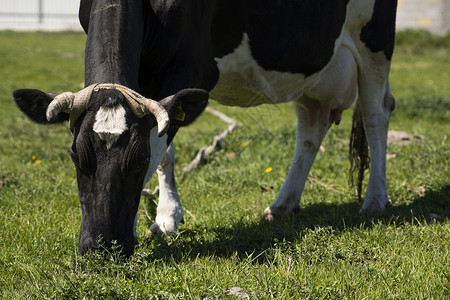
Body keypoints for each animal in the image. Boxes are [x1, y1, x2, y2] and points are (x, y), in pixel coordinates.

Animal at [12, 0, 396, 256]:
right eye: (76, 157)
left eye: (138, 160)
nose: (101, 246)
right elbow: (165, 148)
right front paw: (165, 216)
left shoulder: (192, 67)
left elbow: (161, 142)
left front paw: (158, 220)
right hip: (310, 64)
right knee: (312, 126)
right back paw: (282, 204)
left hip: (375, 41)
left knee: (376, 112)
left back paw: (375, 200)